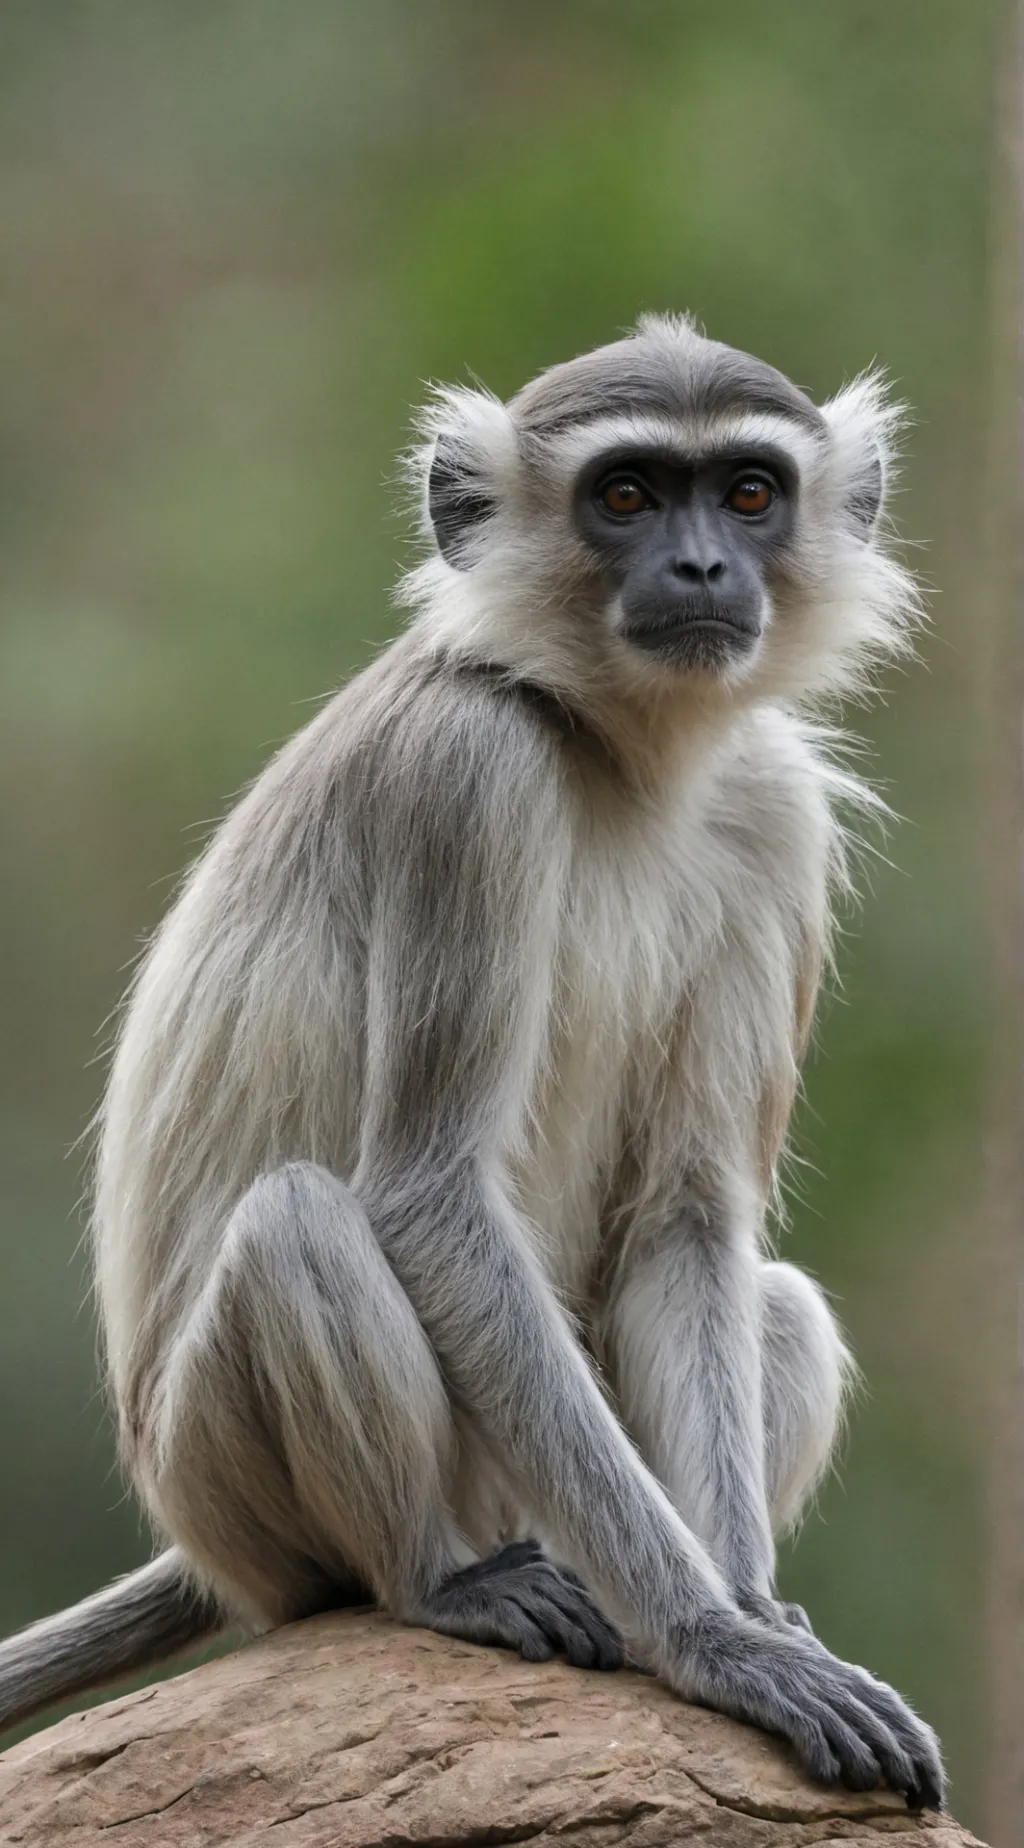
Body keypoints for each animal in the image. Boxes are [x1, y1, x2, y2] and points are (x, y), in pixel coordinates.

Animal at [0, 314, 944, 1809]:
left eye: (748, 494)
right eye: (627, 495)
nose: (701, 567)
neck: (620, 754)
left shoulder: (773, 809)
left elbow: (686, 1220)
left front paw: (747, 1616)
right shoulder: (469, 772)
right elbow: (430, 1193)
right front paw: (716, 1644)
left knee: (775, 1298)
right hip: (228, 1483)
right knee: (303, 1223)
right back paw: (436, 1581)